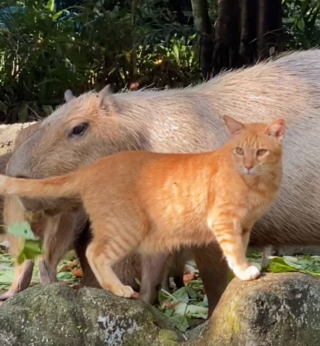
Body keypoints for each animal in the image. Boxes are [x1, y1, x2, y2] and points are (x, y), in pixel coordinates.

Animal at [0, 115, 284, 298]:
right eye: (239, 150)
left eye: (261, 151)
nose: (248, 165)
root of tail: (93, 167)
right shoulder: (223, 221)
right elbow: (232, 251)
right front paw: (245, 271)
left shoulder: (243, 225)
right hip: (123, 228)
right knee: (92, 253)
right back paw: (119, 289)